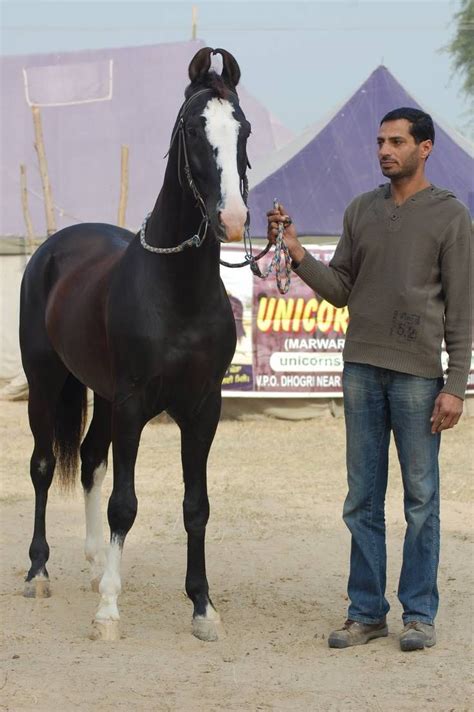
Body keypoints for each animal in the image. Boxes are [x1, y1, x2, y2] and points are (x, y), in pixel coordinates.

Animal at [19, 47, 251, 642]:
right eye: (193, 129)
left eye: (242, 128)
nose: (233, 219)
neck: (178, 293)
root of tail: (54, 248)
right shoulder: (132, 405)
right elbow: (124, 504)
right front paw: (108, 613)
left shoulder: (202, 409)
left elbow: (196, 507)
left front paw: (202, 607)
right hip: (46, 383)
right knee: (43, 466)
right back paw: (39, 572)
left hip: (99, 395)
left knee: (90, 460)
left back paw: (97, 564)